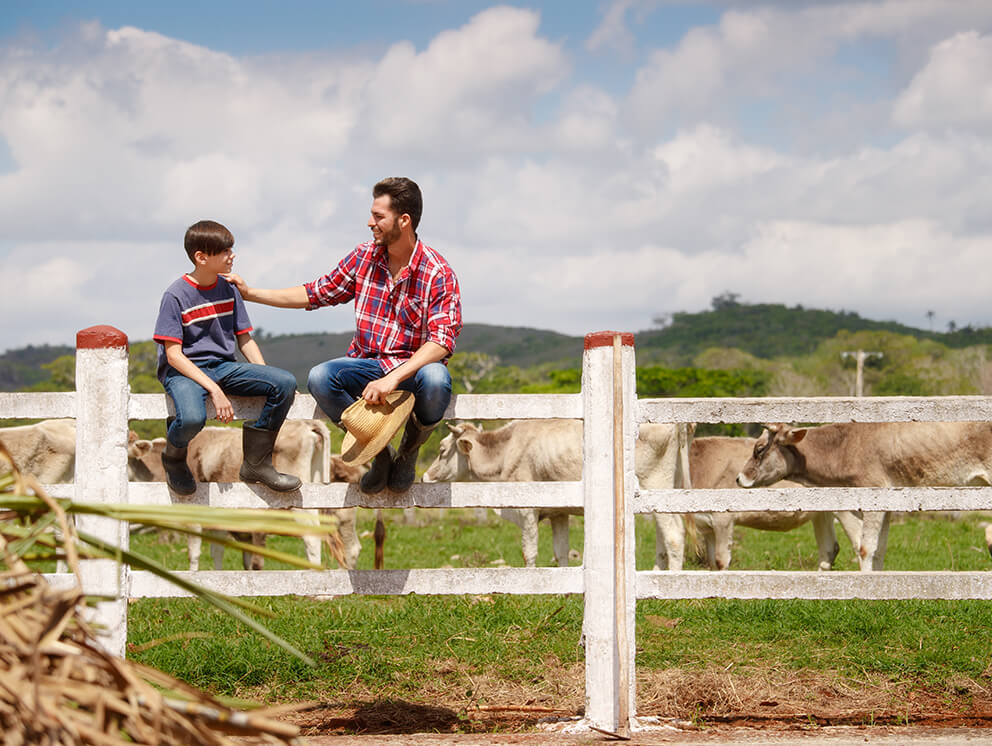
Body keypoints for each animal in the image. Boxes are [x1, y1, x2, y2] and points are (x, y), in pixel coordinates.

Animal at [422, 418, 692, 568]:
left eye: (442, 449)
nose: (424, 477)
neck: (505, 451)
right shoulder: (558, 513)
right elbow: (560, 551)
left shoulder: (527, 511)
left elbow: (529, 552)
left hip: (654, 484)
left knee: (674, 535)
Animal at [688, 436, 860, 568]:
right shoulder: (707, 526)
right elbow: (712, 563)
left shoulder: (723, 519)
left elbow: (721, 561)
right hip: (822, 513)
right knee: (829, 549)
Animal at [732, 418, 992, 568]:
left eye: (759, 449)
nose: (739, 478)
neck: (844, 447)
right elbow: (879, 551)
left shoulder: (873, 497)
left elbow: (866, 549)